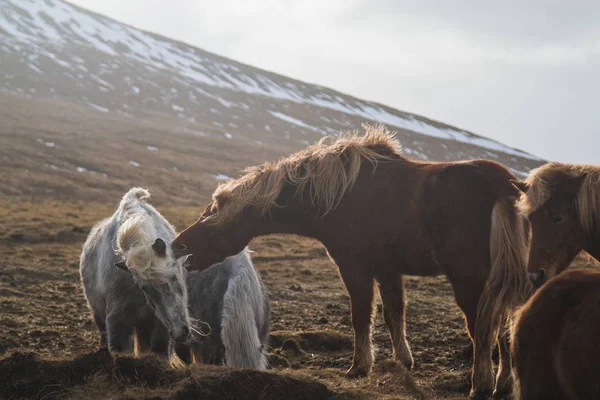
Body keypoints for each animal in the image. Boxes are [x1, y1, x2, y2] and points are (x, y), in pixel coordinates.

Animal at [79, 188, 191, 356]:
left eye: (174, 276)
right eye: (144, 288)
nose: (180, 333)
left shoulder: (159, 327)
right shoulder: (118, 321)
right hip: (99, 313)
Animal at [171, 125, 532, 396]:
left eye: (213, 218)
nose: (177, 246)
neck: (339, 195)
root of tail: (504, 186)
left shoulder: (355, 267)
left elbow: (361, 316)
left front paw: (359, 367)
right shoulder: (388, 270)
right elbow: (393, 314)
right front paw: (403, 363)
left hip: (469, 279)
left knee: (482, 327)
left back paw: (481, 385)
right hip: (502, 277)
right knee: (504, 324)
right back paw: (503, 384)